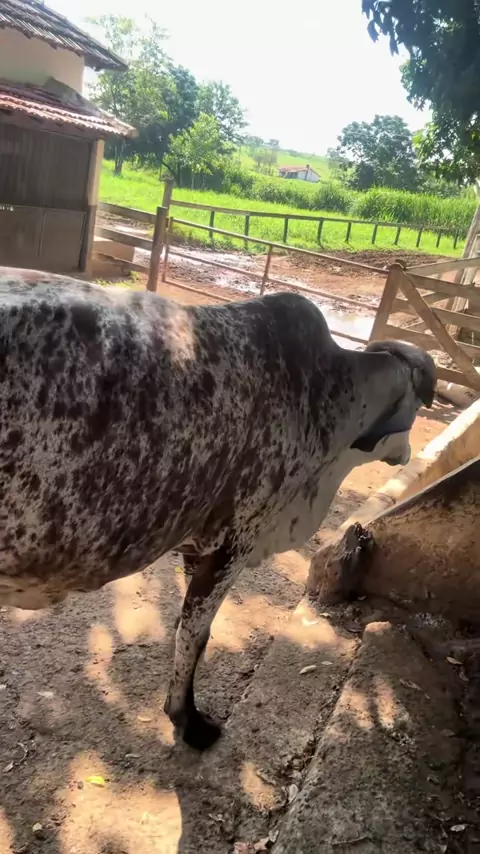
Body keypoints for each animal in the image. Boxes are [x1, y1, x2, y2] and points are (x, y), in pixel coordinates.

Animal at [0, 268, 436, 750]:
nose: (407, 452)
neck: (327, 390)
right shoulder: (234, 544)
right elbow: (195, 636)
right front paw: (187, 720)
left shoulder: (195, 546)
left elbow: (189, 632)